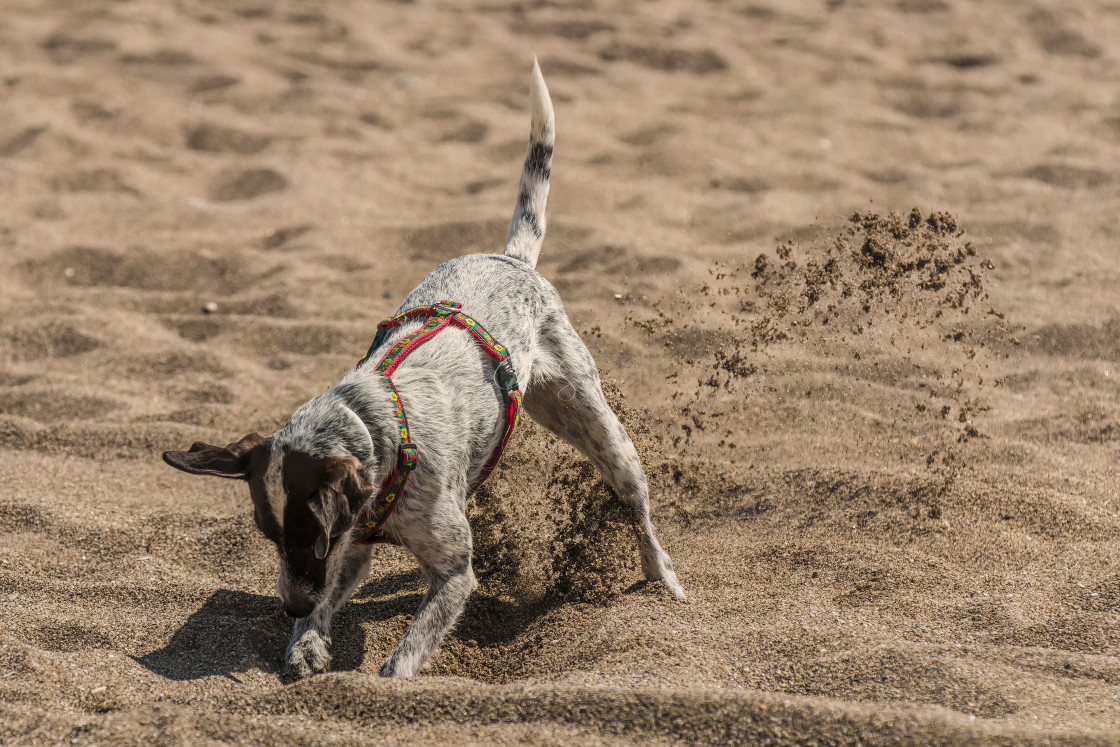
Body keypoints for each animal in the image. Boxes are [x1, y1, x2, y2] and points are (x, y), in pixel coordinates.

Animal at [157, 59, 680, 676]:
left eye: (312, 536)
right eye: (268, 536)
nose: (288, 607)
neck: (380, 426)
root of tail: (510, 257)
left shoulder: (452, 573)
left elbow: (405, 655)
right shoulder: (352, 551)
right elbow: (329, 604)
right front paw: (305, 645)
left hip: (601, 431)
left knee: (638, 509)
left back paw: (663, 579)